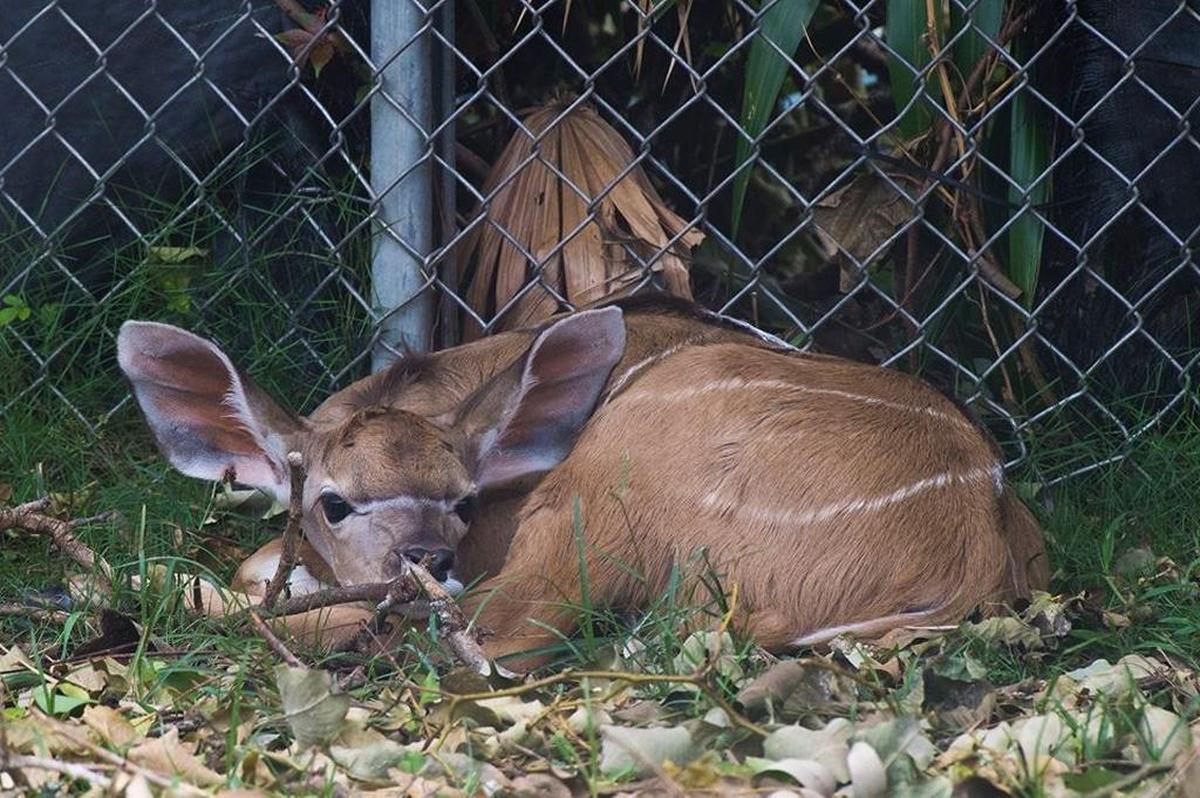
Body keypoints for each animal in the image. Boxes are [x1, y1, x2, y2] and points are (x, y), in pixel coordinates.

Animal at [117, 297, 1048, 667]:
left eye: (466, 501)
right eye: (333, 502)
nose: (426, 557)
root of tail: (973, 552)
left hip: (613, 478)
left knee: (491, 630)